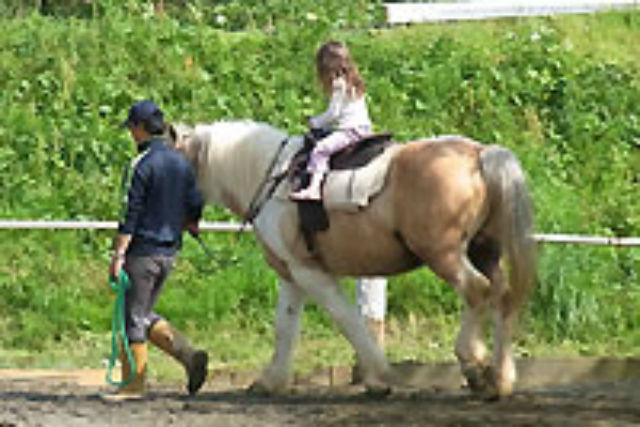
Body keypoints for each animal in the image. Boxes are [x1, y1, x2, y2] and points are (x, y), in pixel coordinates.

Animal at [168, 120, 537, 399]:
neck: (271, 181)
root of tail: (479, 154)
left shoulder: (312, 274)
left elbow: (348, 321)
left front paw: (379, 375)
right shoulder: (291, 275)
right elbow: (285, 327)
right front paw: (270, 381)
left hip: (444, 255)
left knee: (477, 291)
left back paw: (473, 365)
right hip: (484, 250)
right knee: (502, 298)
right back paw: (501, 379)